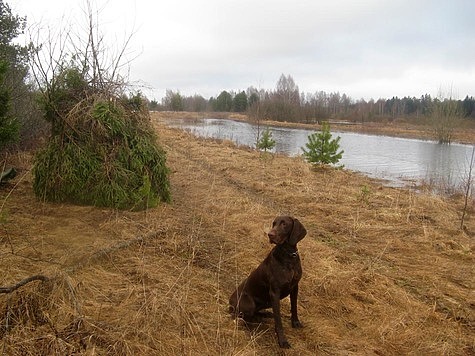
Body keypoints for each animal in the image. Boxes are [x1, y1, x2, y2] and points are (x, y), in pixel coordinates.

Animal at [231, 214, 308, 348]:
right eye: (274, 223)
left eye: (284, 224)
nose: (270, 235)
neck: (288, 257)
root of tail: (229, 302)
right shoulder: (274, 293)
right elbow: (279, 321)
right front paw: (282, 340)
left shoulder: (295, 287)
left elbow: (294, 307)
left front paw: (295, 322)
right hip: (248, 303)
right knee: (243, 318)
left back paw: (266, 315)